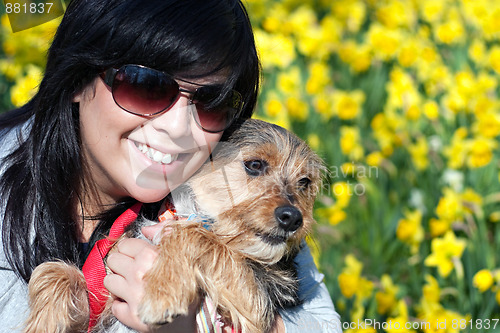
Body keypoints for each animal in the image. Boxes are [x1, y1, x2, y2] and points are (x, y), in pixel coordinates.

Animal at [25, 118, 326, 330]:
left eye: (304, 182)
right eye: (254, 164)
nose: (293, 218)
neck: (192, 215)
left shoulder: (257, 304)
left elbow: (189, 236)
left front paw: (161, 293)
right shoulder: (103, 294)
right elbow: (55, 271)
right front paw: (43, 325)